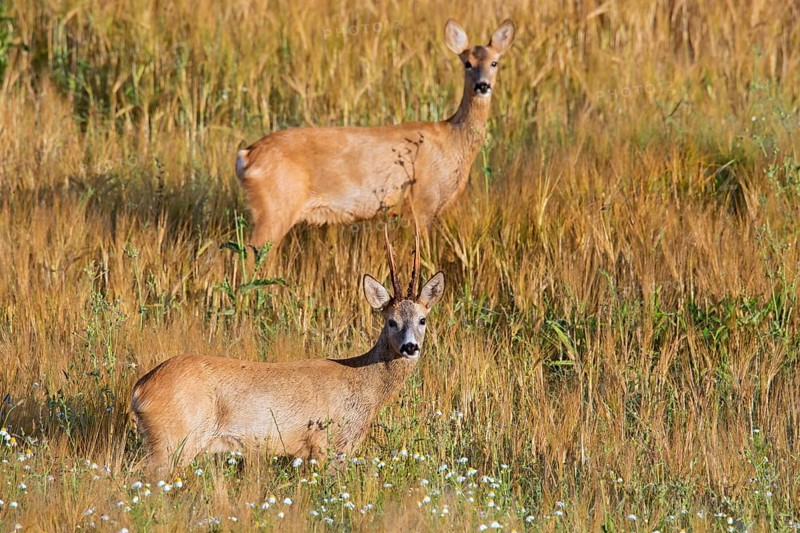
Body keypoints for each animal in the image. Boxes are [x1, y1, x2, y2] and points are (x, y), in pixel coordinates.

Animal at [130, 228, 445, 471]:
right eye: (391, 320)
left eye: (422, 319)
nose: (410, 346)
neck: (362, 386)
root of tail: (141, 389)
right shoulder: (327, 445)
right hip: (171, 440)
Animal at [235, 18, 516, 246]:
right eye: (467, 63)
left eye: (495, 62)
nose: (482, 85)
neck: (452, 140)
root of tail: (246, 156)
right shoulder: (422, 201)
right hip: (275, 208)